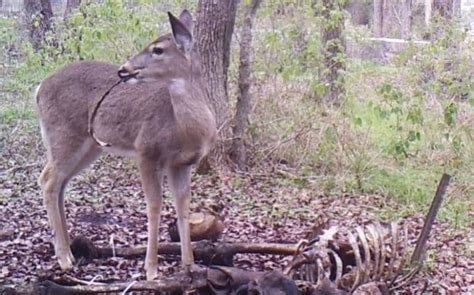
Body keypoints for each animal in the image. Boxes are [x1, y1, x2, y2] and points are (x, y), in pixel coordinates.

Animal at [35, 9, 217, 282]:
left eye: (158, 49)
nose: (124, 69)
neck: (184, 128)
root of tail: (38, 88)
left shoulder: (182, 164)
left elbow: (183, 207)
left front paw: (190, 265)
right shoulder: (146, 150)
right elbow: (154, 206)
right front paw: (151, 269)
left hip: (89, 146)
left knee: (60, 183)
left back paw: (70, 250)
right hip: (63, 135)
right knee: (47, 180)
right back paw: (64, 258)